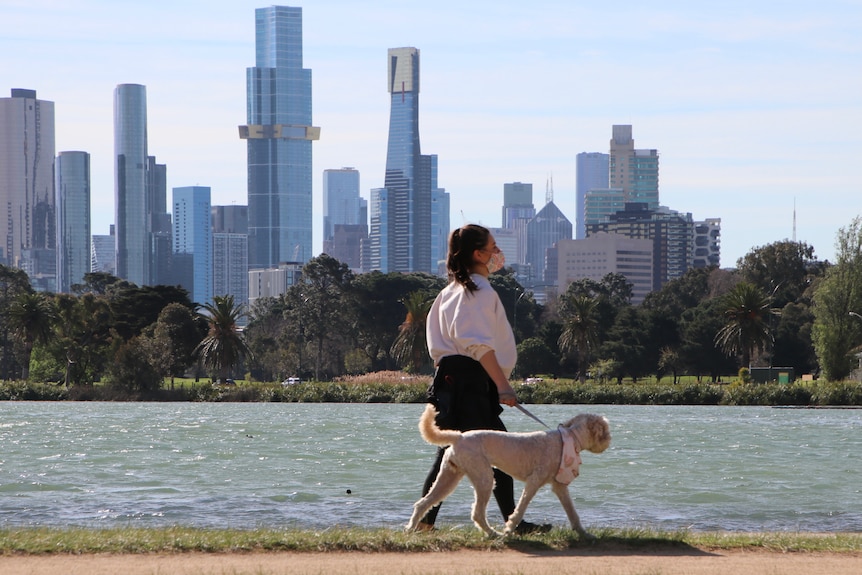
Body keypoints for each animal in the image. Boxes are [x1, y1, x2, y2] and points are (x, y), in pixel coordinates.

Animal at [408, 402, 612, 536]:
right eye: (605, 429)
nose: (609, 441)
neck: (567, 440)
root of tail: (459, 437)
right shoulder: (534, 482)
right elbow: (520, 509)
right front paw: (510, 527)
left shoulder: (559, 487)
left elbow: (572, 512)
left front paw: (584, 533)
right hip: (484, 479)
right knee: (477, 513)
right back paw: (494, 534)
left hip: (448, 478)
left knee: (423, 503)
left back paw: (411, 529)